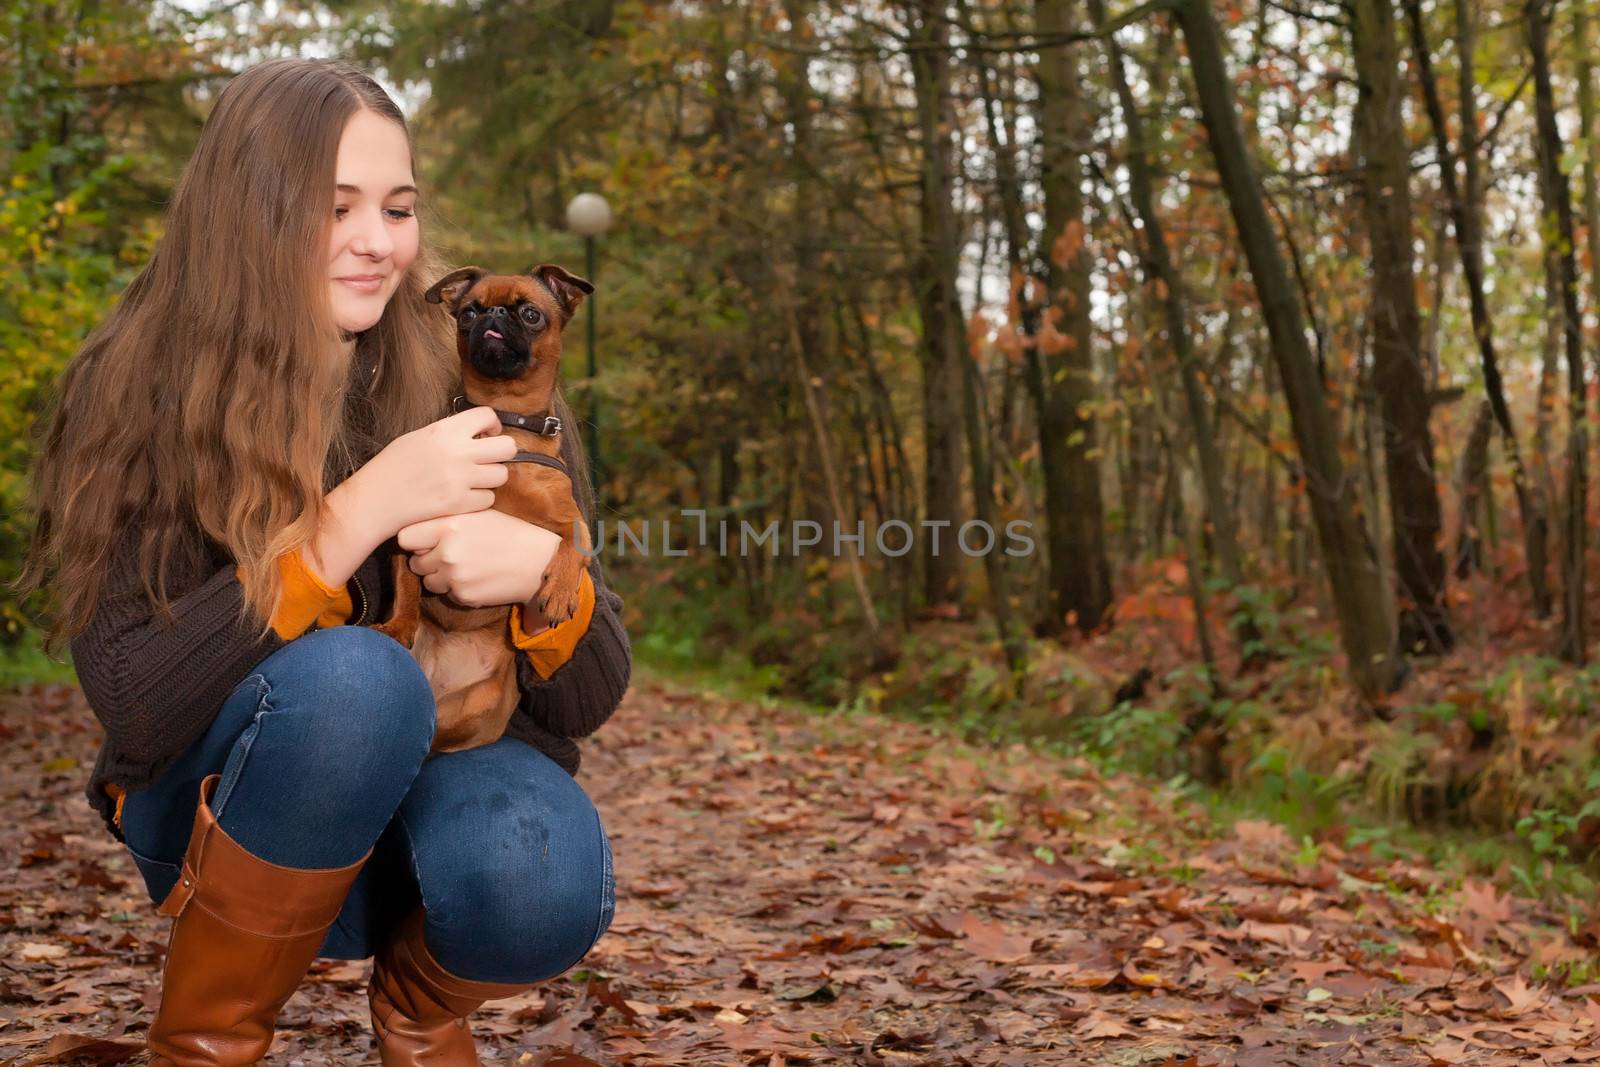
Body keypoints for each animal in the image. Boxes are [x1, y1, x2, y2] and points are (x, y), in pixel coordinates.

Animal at [371, 265, 598, 751]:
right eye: (468, 313)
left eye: (531, 314)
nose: (493, 314)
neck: (504, 421)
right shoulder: (409, 531)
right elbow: (406, 591)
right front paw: (398, 626)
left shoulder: (572, 520)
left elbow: (573, 543)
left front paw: (560, 591)